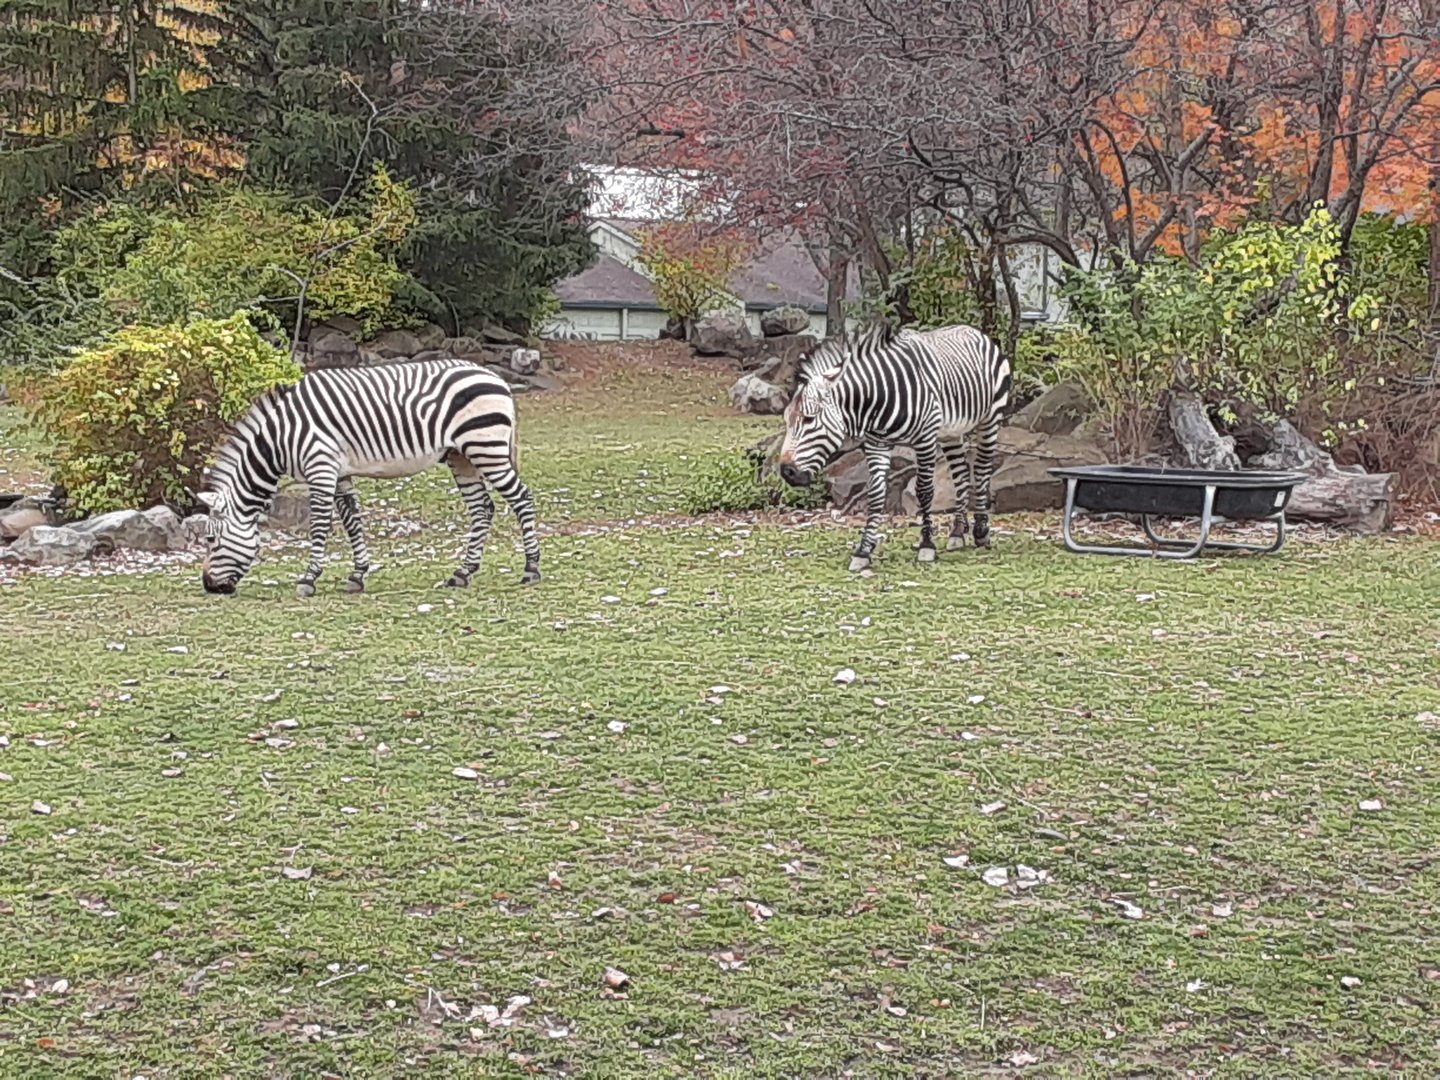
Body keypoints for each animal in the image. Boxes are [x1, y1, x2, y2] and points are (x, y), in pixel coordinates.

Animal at [197, 358, 540, 596]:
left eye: (211, 540)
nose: (209, 586)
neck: (279, 437)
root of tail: (496, 378)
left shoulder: (320, 466)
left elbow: (320, 524)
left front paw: (309, 578)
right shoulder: (339, 472)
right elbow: (351, 521)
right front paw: (357, 575)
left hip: (486, 448)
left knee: (522, 498)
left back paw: (531, 569)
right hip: (462, 456)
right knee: (483, 508)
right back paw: (463, 572)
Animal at [777, 322, 1012, 572]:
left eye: (809, 419)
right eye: (786, 419)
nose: (787, 472)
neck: (878, 399)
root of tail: (972, 330)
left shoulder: (925, 439)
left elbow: (924, 491)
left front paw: (927, 545)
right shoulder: (876, 444)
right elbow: (876, 495)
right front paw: (863, 551)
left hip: (990, 419)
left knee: (982, 470)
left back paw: (981, 532)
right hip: (951, 431)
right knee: (961, 475)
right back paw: (957, 532)